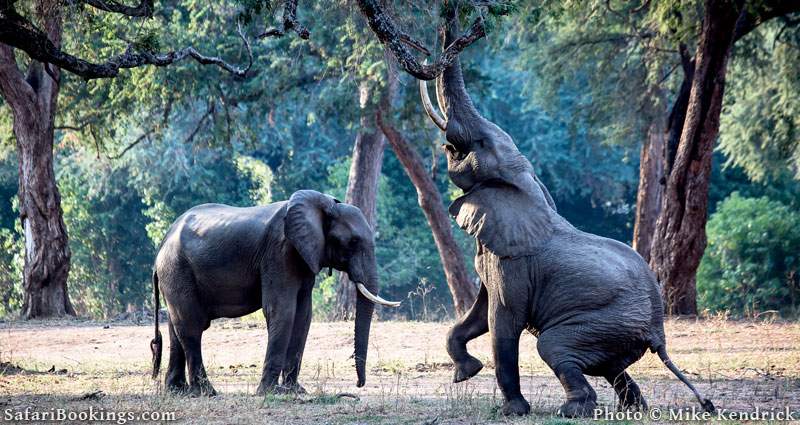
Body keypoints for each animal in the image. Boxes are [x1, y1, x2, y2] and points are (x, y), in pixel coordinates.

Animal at [148, 190, 398, 396]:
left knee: (176, 327)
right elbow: (281, 311)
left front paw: (295, 391)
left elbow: (303, 316)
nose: (358, 385)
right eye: (353, 241)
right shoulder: (280, 252)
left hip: (175, 274)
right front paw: (269, 392)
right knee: (191, 326)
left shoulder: (304, 256)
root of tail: (162, 243)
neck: (325, 205)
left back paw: (177, 391)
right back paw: (206, 392)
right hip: (177, 269)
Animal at [416, 11, 716, 416]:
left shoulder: (514, 263)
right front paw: (465, 373)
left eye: (479, 143)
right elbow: (479, 313)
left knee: (554, 346)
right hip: (616, 330)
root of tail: (659, 332)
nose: (454, 22)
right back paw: (632, 409)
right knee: (609, 365)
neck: (525, 184)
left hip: (607, 321)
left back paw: (573, 409)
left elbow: (502, 321)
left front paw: (513, 411)